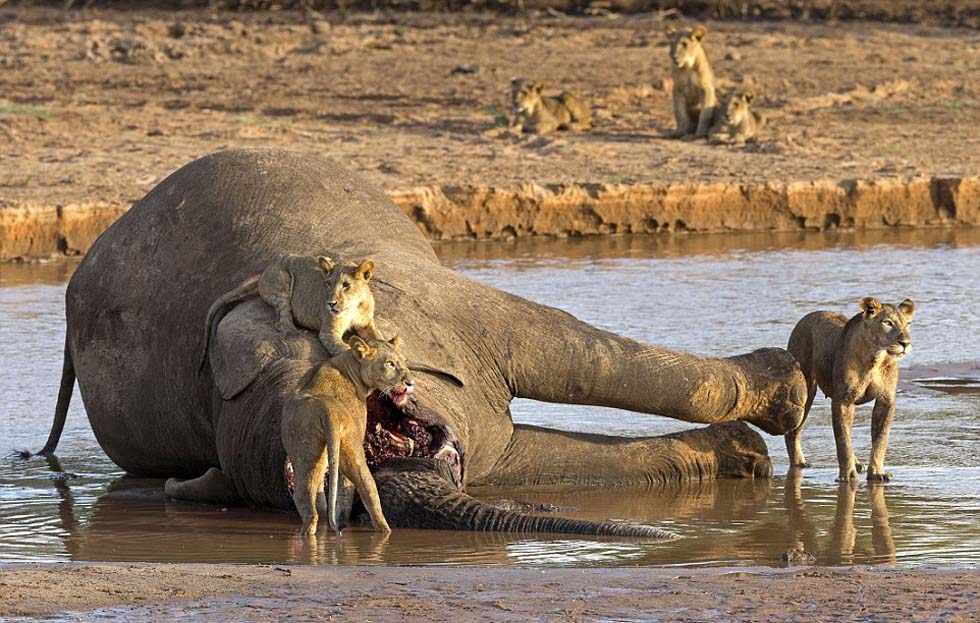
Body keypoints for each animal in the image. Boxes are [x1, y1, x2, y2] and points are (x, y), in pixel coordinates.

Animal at [200, 255, 382, 368]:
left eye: (346, 285)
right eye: (328, 284)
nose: (330, 304)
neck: (354, 306)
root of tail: (264, 272)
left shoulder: (366, 324)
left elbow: (377, 337)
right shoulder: (328, 332)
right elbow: (342, 348)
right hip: (282, 283)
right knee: (281, 322)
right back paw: (298, 331)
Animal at [280, 336, 414, 536]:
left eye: (404, 362)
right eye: (389, 363)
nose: (411, 383)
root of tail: (327, 409)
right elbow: (346, 490)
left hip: (308, 451)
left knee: (307, 494)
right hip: (351, 445)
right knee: (367, 489)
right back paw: (384, 530)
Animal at [784, 298, 916, 482]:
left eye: (908, 324)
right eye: (888, 323)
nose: (905, 344)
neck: (875, 358)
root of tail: (807, 317)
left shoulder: (886, 400)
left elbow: (880, 439)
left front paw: (877, 472)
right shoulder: (842, 400)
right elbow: (842, 440)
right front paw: (848, 475)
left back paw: (858, 463)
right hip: (805, 391)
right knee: (793, 432)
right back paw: (799, 463)